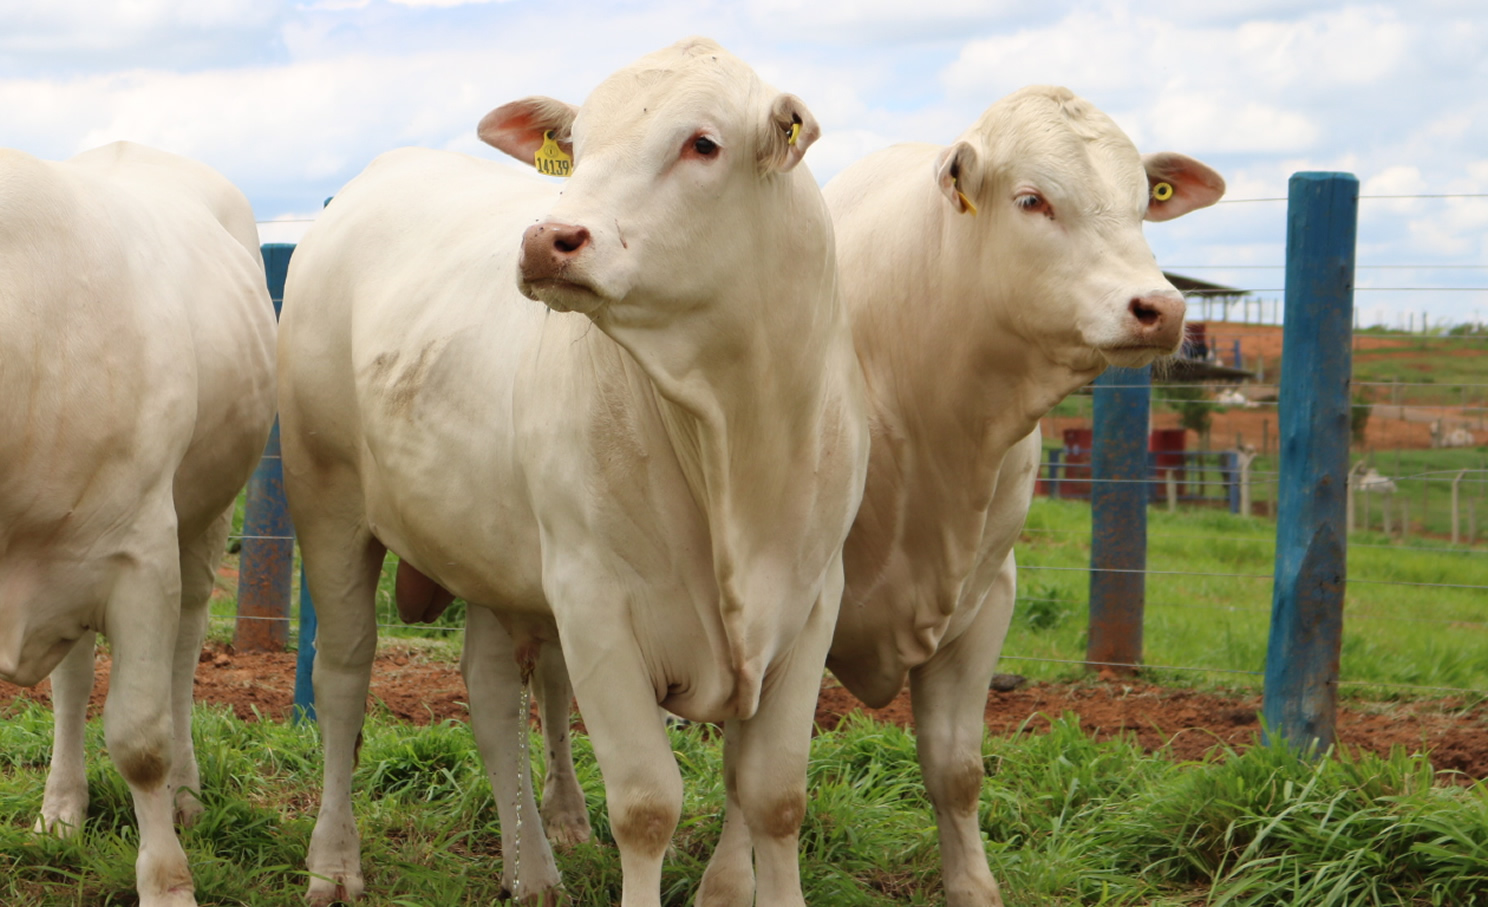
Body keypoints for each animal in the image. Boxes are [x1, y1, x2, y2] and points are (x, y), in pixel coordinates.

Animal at [0, 141, 279, 904]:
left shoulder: (142, 557)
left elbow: (139, 740)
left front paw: (168, 883)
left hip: (202, 524)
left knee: (182, 655)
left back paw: (185, 794)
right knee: (70, 684)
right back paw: (60, 809)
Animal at [276, 37, 868, 904]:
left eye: (703, 143)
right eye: (577, 148)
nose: (546, 239)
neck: (735, 444)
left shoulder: (809, 604)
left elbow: (775, 796)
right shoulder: (596, 604)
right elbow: (648, 806)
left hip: (490, 554)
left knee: (492, 696)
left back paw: (532, 870)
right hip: (328, 505)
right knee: (345, 677)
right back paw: (334, 861)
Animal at [690, 86, 1226, 904]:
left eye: (1144, 202)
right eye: (1034, 199)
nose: (1160, 308)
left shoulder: (986, 600)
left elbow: (957, 771)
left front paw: (974, 886)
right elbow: (741, 769)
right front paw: (723, 883)